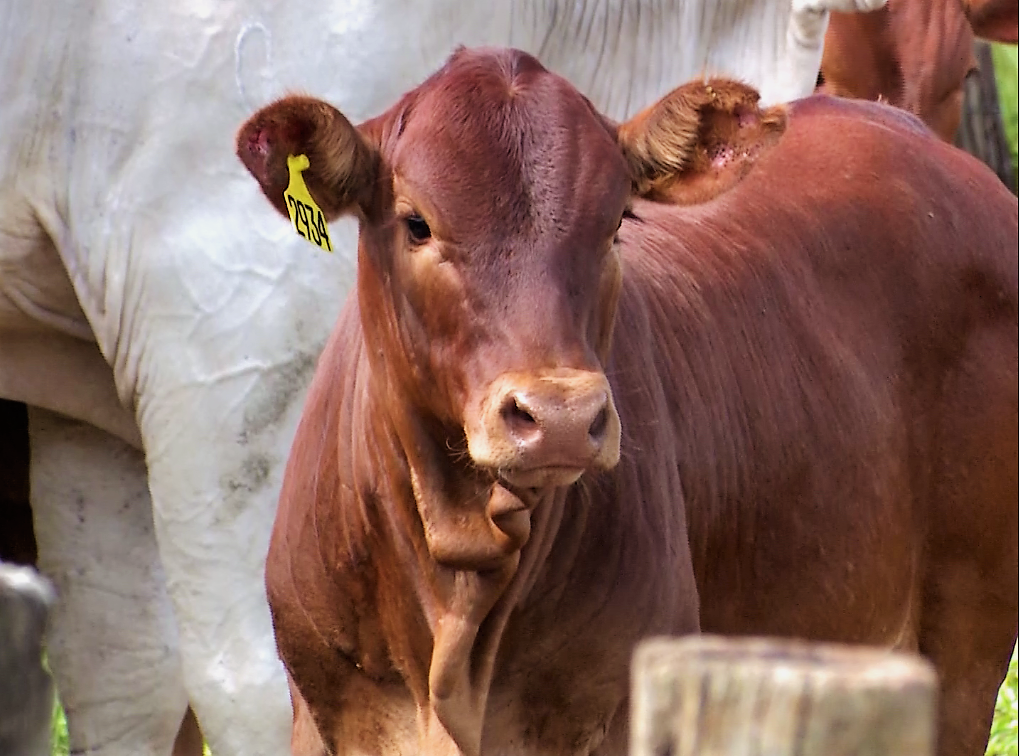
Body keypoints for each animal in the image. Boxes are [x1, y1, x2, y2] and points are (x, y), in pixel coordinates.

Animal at [0, 2, 877, 750]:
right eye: (416, 222)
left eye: (617, 221)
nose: (561, 417)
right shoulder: (225, 325)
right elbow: (228, 683)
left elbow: (120, 671)